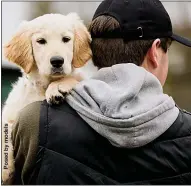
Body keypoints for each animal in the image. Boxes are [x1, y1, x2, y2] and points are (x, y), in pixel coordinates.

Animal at [2, 13, 98, 185]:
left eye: (66, 39)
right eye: (41, 41)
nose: (57, 61)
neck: (43, 86)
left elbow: (74, 78)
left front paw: (57, 88)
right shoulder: (10, 113)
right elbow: (3, 130)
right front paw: (5, 169)